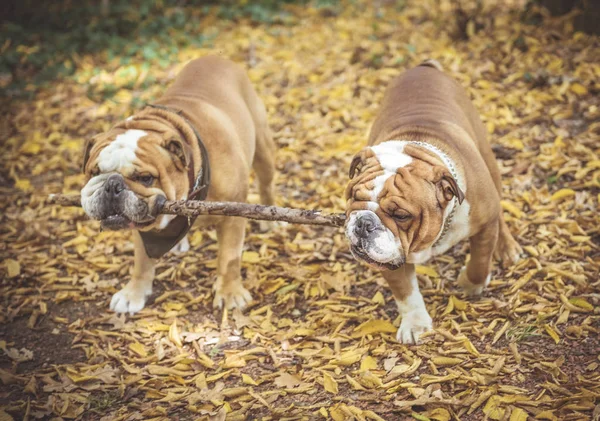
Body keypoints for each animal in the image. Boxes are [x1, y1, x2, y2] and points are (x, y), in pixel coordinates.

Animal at [81, 55, 276, 312]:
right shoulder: (140, 227)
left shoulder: (232, 217)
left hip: (263, 148)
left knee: (266, 183)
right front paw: (134, 293)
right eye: (94, 172)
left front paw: (230, 293)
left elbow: (229, 258)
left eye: (145, 178)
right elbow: (142, 261)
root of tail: (216, 56)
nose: (112, 185)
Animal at [344, 60, 524, 342]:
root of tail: (424, 67)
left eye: (401, 215)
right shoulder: (390, 256)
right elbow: (405, 292)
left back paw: (507, 247)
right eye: (354, 197)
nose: (364, 223)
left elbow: (480, 261)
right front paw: (416, 324)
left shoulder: (484, 224)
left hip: (489, 162)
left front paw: (471, 284)